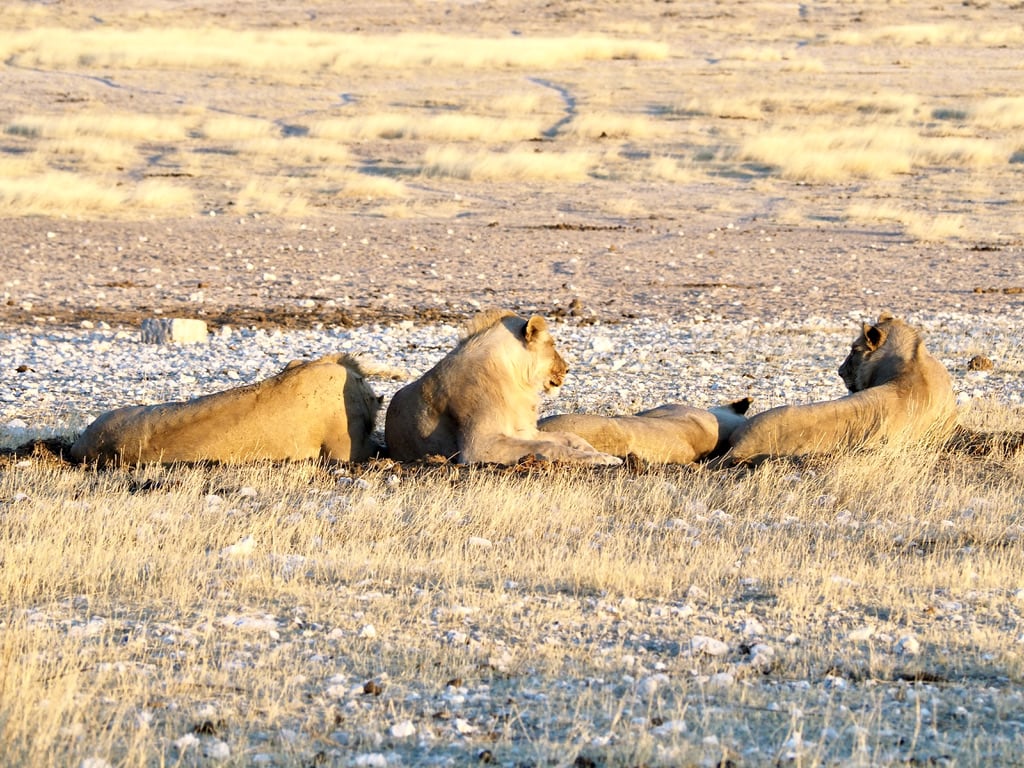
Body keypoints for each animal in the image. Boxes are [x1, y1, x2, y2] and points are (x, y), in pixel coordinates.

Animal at [385, 309, 618, 466]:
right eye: (552, 345)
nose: (568, 369)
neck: (516, 379)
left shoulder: (524, 432)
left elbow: (569, 436)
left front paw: (599, 452)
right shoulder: (479, 447)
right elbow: (548, 446)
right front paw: (603, 458)